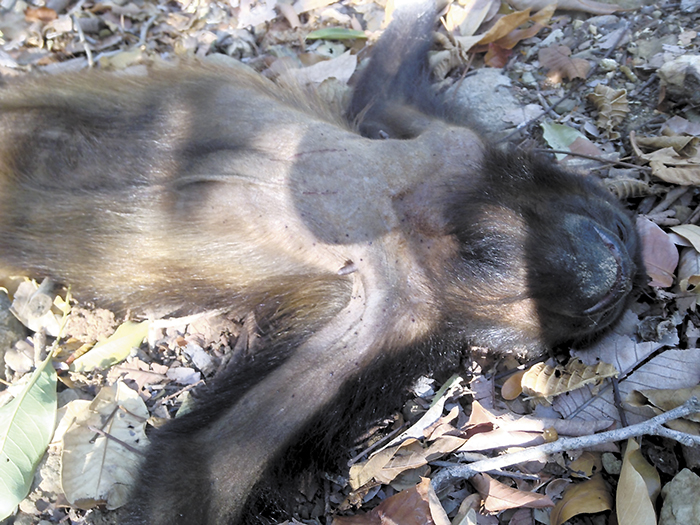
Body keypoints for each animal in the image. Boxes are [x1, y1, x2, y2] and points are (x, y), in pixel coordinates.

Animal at [0, 1, 642, 523]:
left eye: (595, 312)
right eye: (614, 230)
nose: (611, 275)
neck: (422, 225)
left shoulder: (387, 320)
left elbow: (206, 459)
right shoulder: (452, 146)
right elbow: (382, 89)